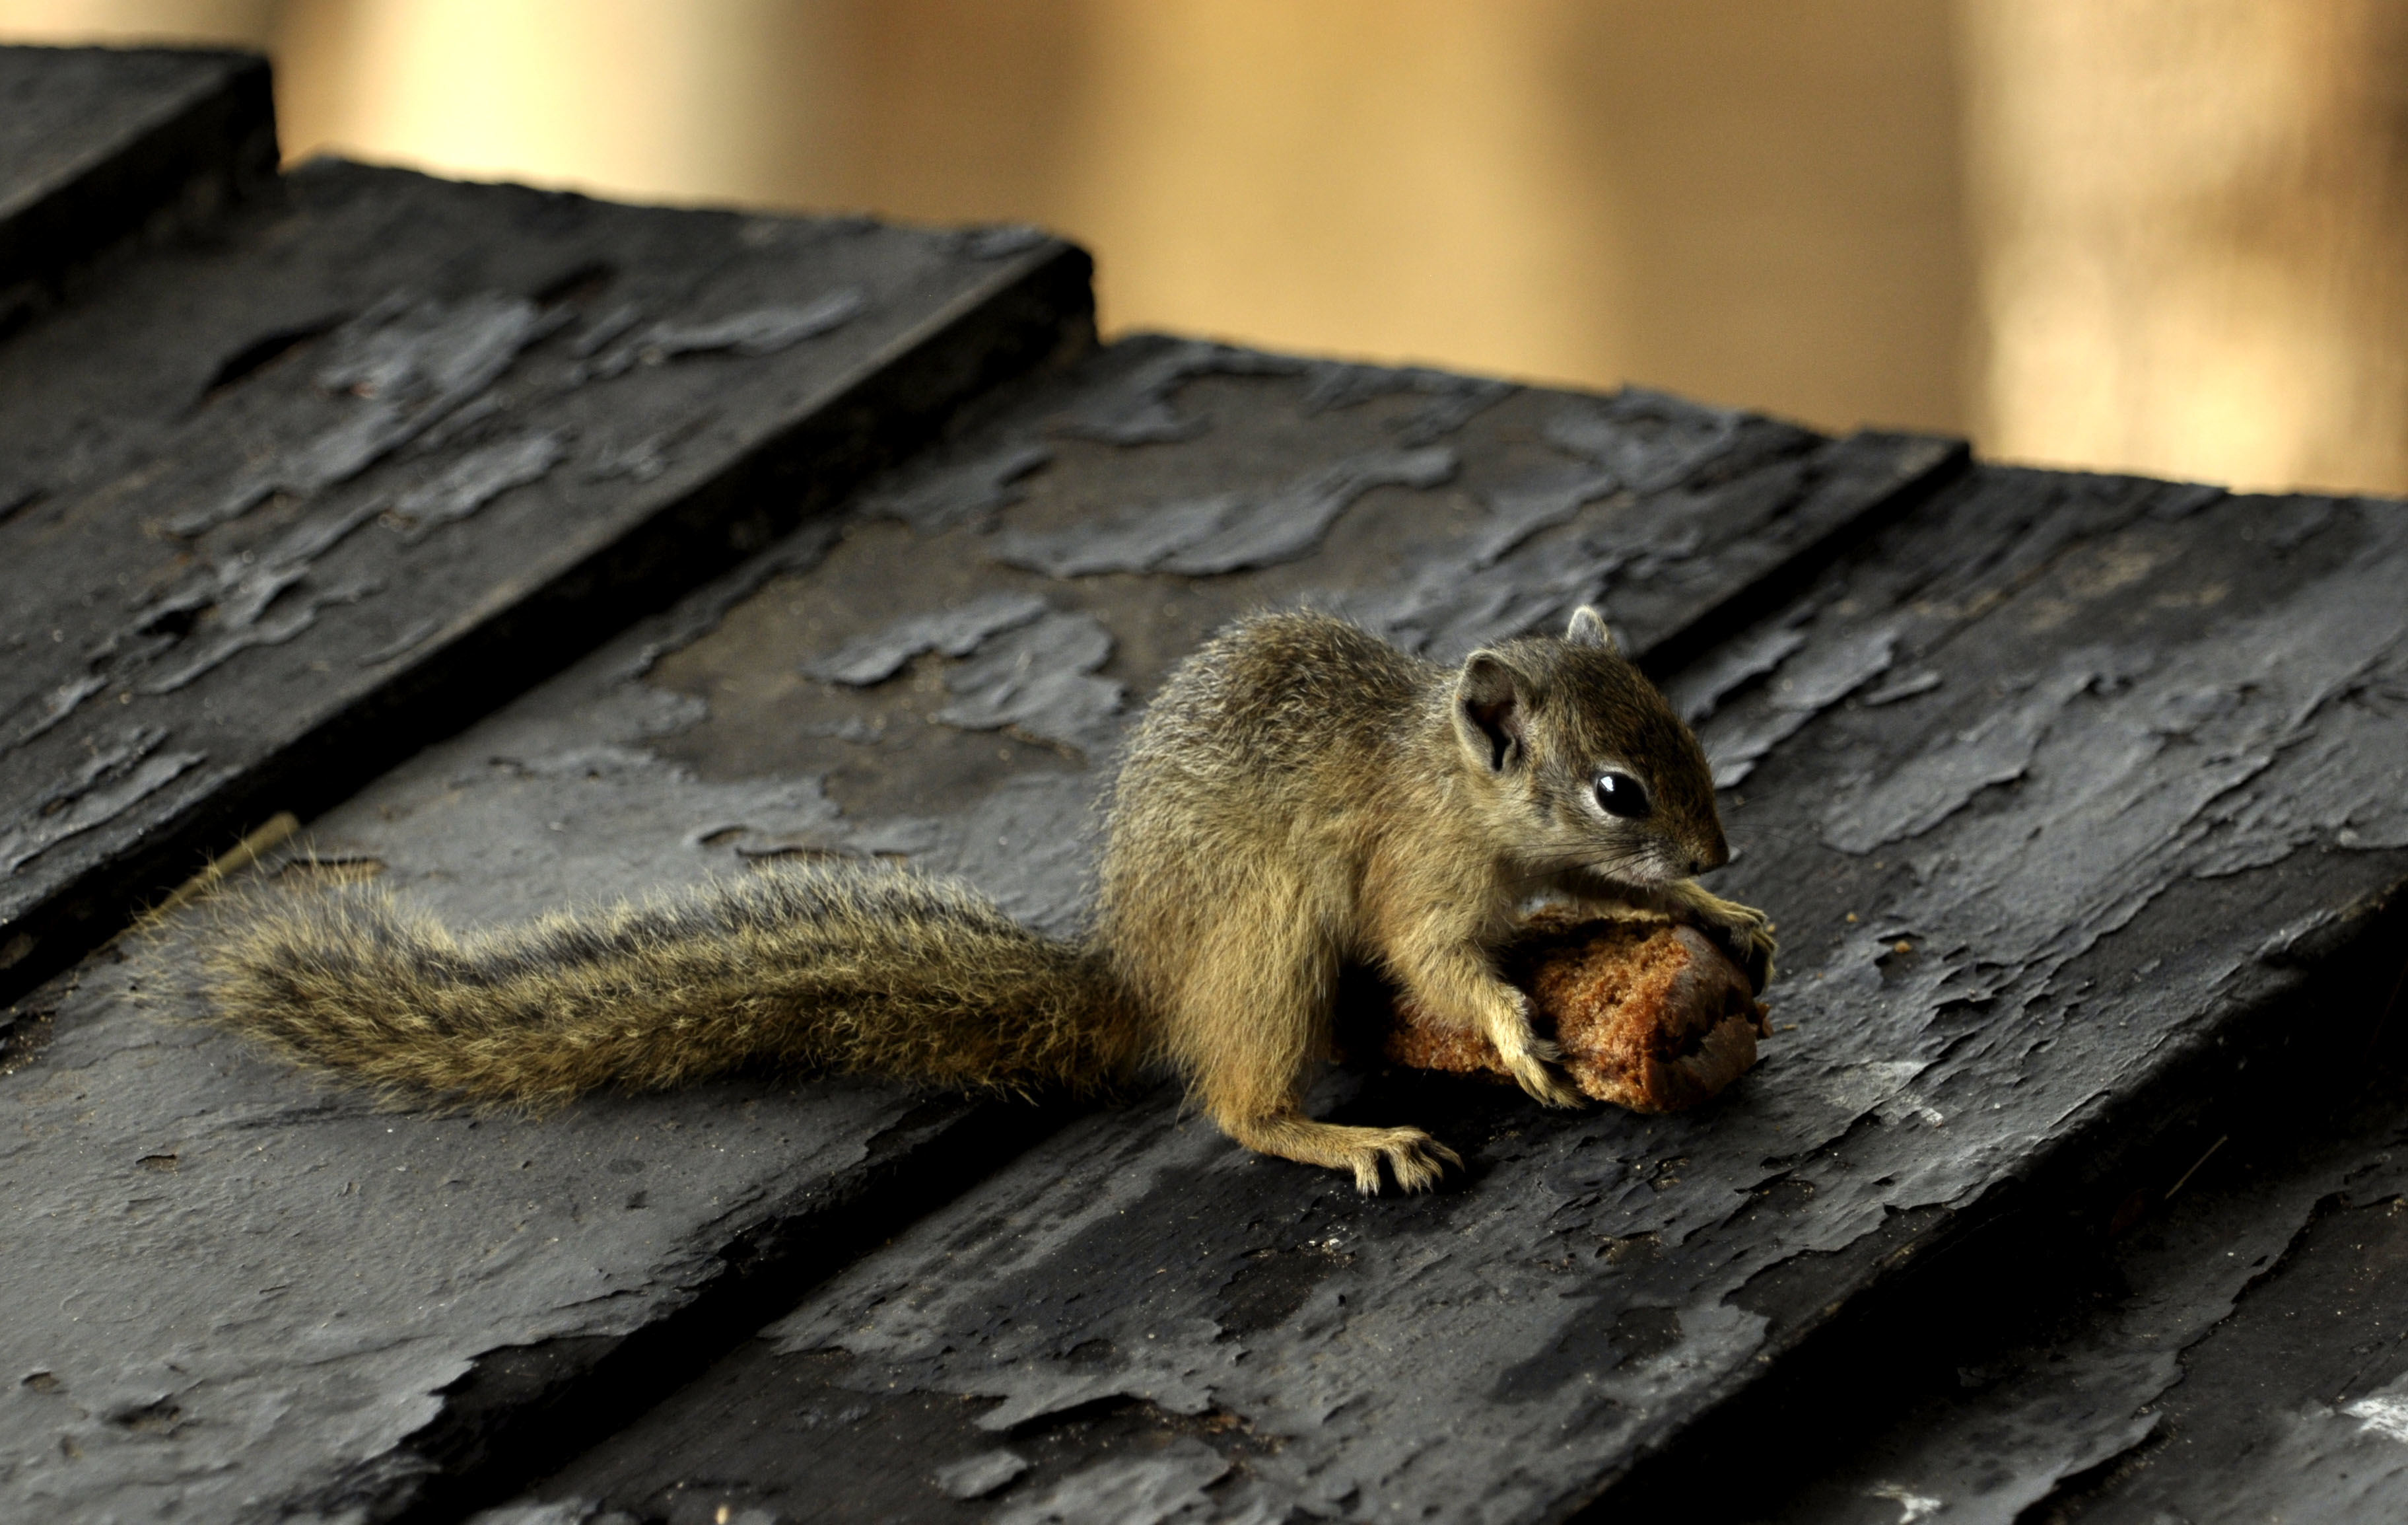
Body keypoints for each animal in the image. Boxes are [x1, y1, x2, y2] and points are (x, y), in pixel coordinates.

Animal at [202, 604, 1772, 1189]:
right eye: (1615, 786)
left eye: (1682, 731)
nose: (1714, 855)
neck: (1455, 785)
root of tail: (1141, 971)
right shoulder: (1417, 882)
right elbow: (1447, 964)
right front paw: (1511, 1030)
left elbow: (1575, 918)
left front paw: (1710, 928)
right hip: (1265, 946)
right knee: (1233, 1097)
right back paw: (1348, 1133)